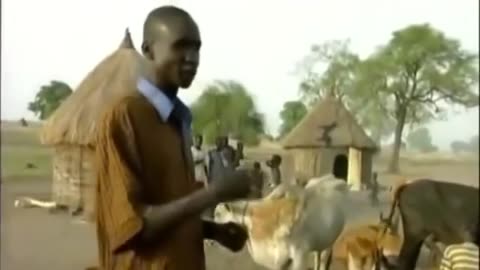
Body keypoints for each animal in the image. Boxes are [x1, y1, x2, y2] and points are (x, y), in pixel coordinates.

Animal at [214, 174, 348, 270]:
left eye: (218, 214)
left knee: (324, 259)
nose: (211, 241)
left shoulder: (300, 255)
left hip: (331, 240)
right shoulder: (281, 260)